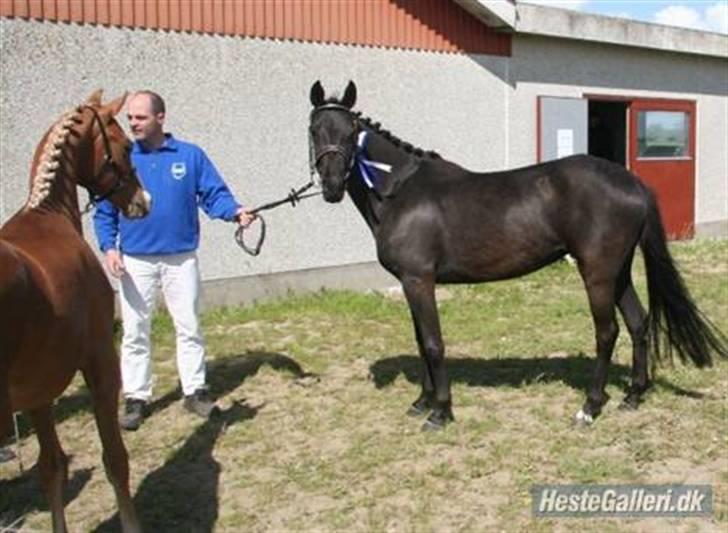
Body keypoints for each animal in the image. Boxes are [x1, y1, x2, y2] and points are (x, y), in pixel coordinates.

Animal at [0, 89, 151, 528]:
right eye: (124, 145)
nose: (144, 201)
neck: (47, 215)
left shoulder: (39, 390)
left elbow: (51, 466)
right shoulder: (100, 361)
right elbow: (115, 458)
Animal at [308, 80, 728, 428]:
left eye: (351, 132)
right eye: (315, 129)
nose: (331, 186)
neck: (400, 191)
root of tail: (633, 182)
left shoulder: (419, 281)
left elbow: (433, 342)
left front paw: (441, 411)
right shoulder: (411, 283)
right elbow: (420, 340)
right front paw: (422, 402)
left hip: (597, 272)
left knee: (607, 332)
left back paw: (590, 407)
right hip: (619, 271)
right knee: (638, 323)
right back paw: (633, 396)